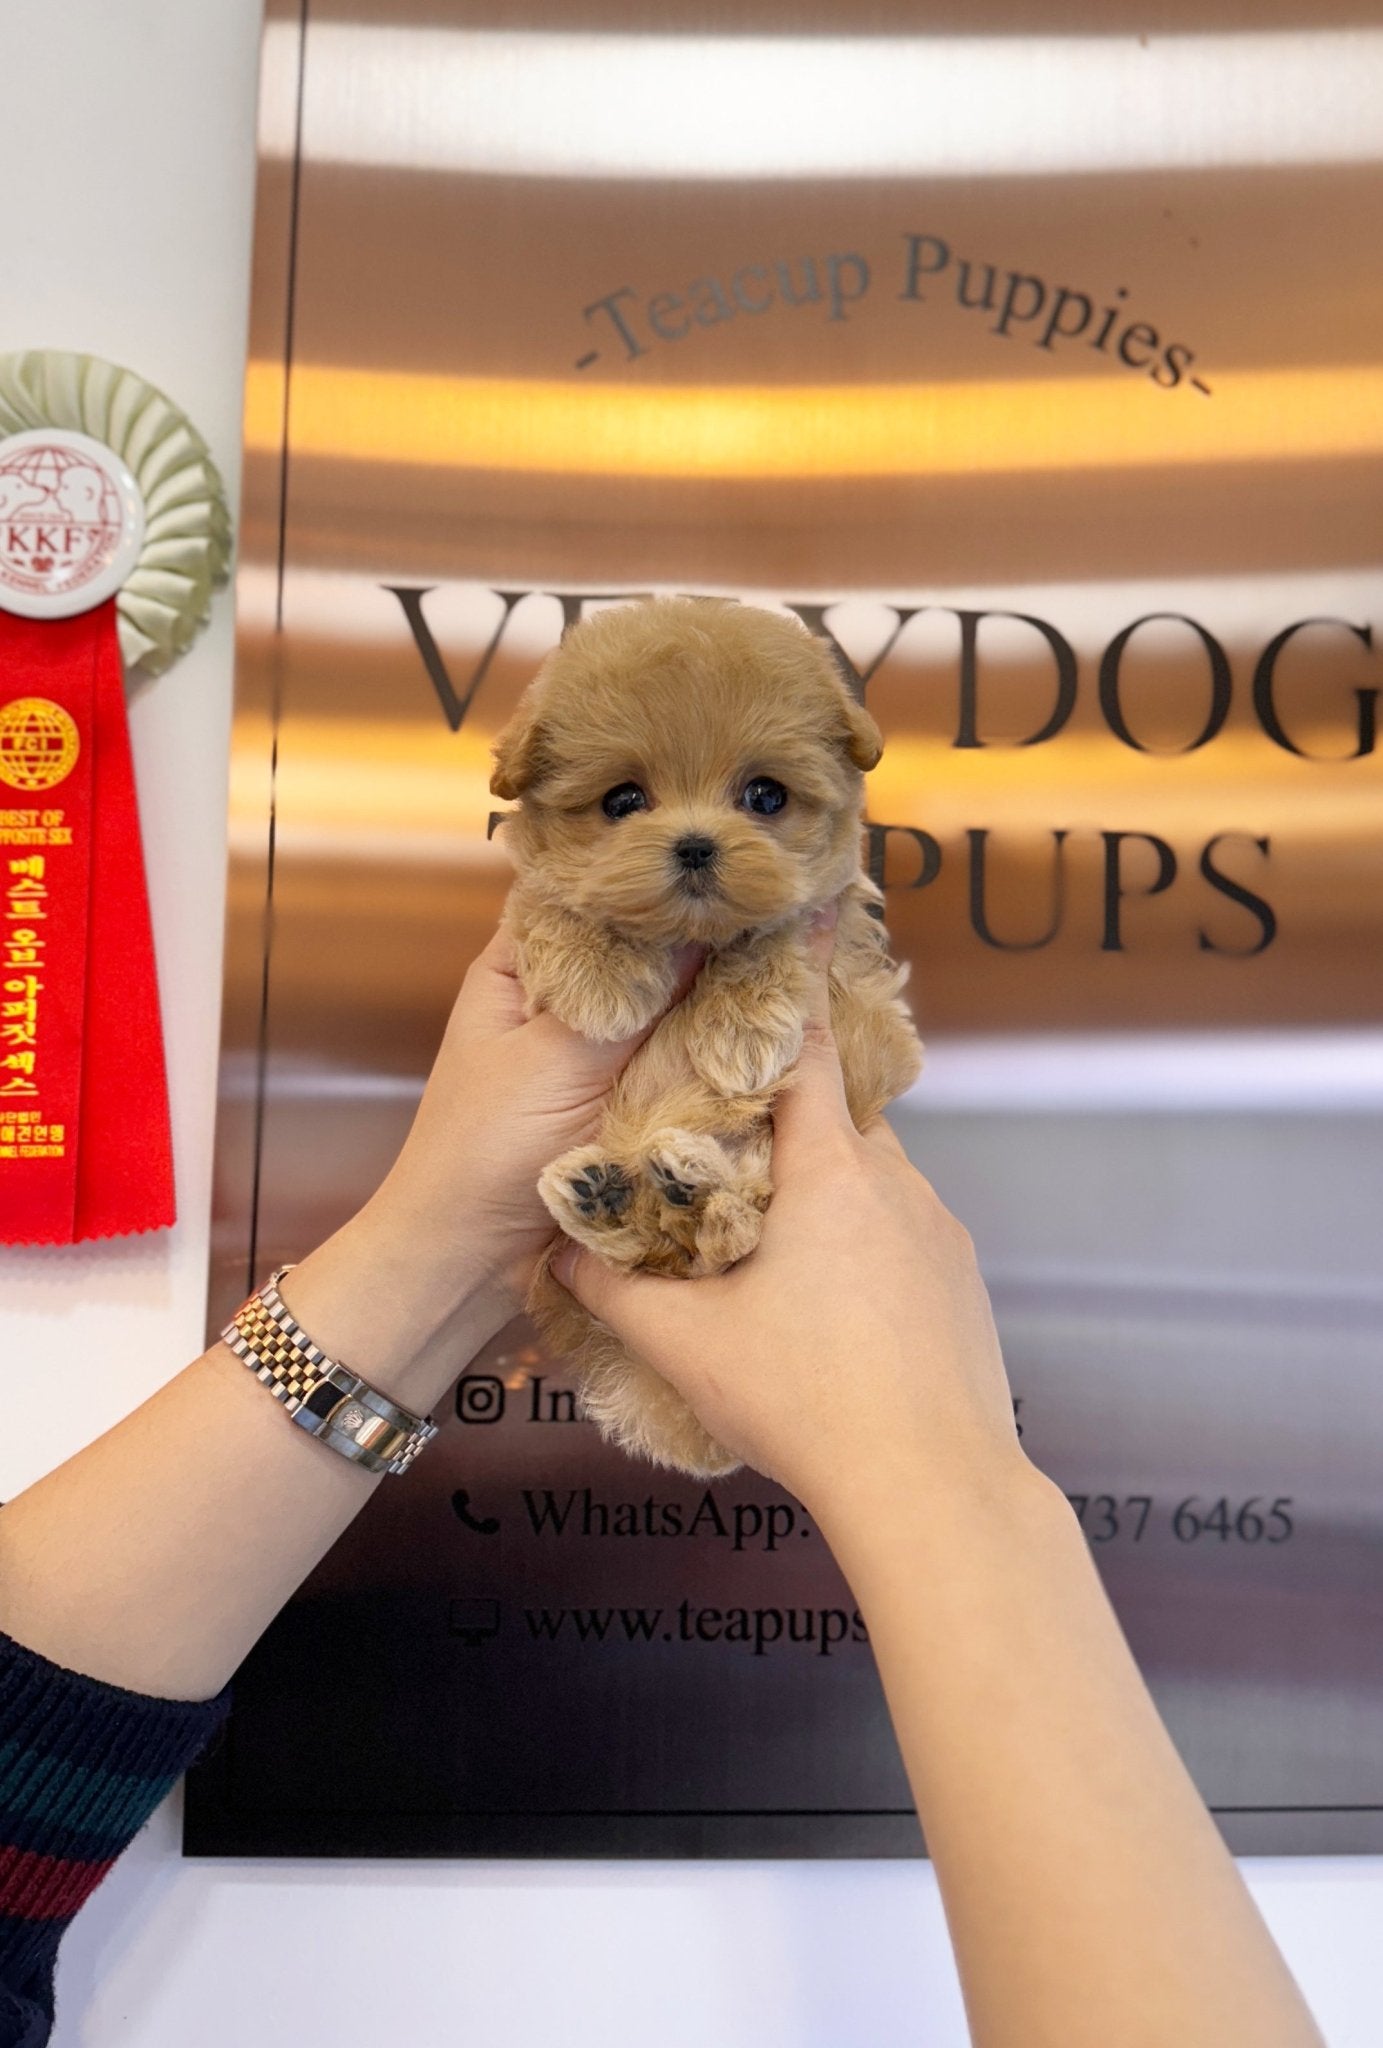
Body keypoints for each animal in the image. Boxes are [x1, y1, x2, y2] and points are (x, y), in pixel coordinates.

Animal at [491, 598, 926, 1482]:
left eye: (764, 795)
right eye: (622, 800)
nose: (695, 844)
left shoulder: (831, 931)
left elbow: (775, 931)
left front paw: (739, 1031)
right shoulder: (523, 917)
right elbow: (546, 902)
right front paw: (600, 977)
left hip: (752, 1171)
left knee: (716, 1240)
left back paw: (687, 1188)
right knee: (655, 1250)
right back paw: (613, 1197)